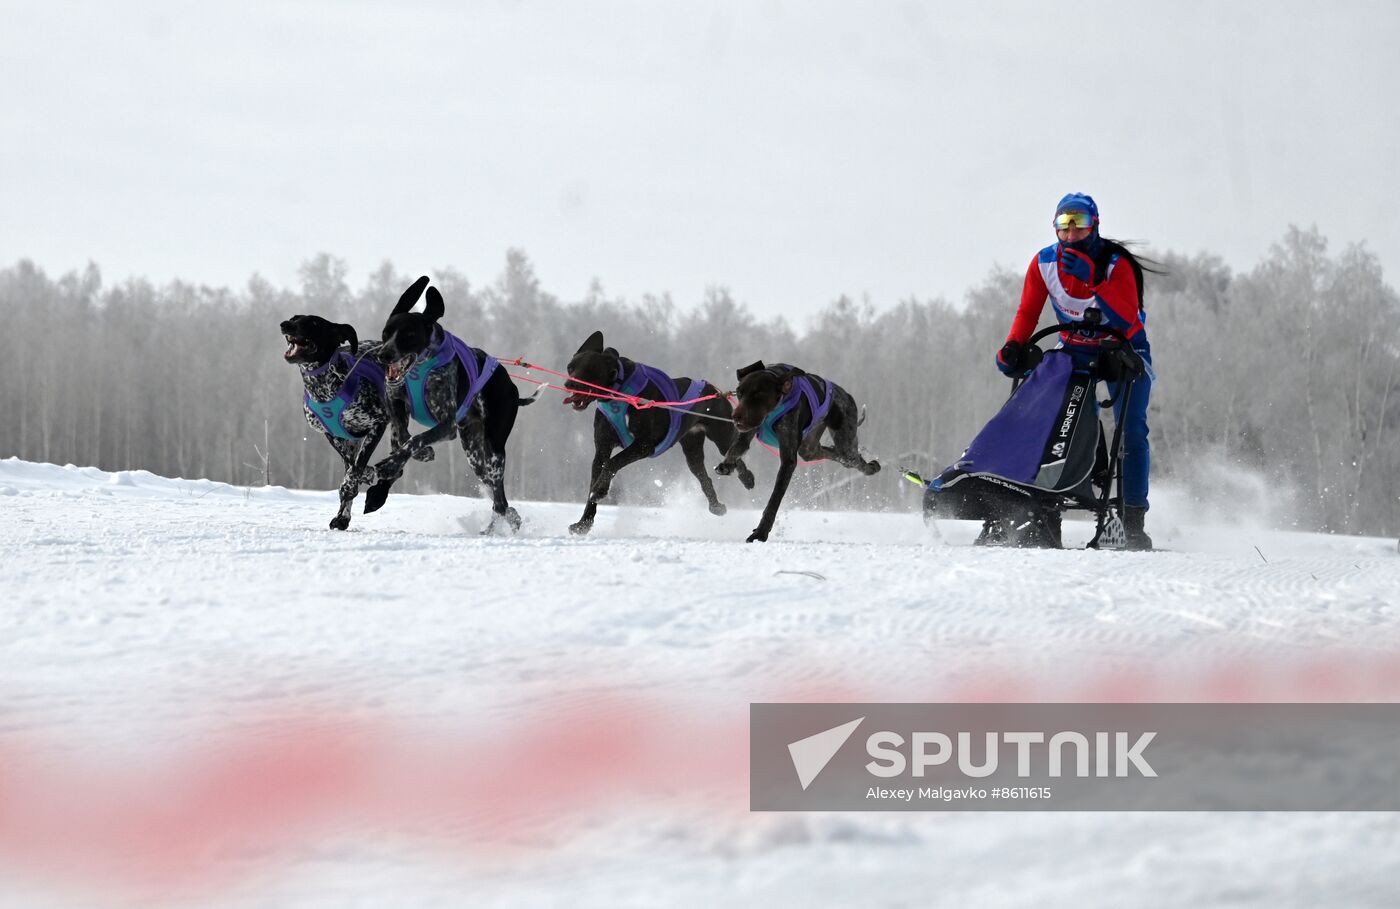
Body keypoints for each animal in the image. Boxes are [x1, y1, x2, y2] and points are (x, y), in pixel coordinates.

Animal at [274, 313, 403, 532]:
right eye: (294, 318)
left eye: (314, 323)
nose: (285, 325)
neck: (323, 386)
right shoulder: (334, 435)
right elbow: (352, 465)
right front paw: (345, 509)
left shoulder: (377, 424)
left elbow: (357, 467)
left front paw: (355, 482)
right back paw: (343, 515)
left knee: (399, 464)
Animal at [366, 275, 534, 532]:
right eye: (386, 333)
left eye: (408, 335)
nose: (383, 355)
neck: (420, 367)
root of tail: (512, 387)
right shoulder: (396, 405)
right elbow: (404, 436)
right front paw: (417, 455)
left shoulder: (447, 426)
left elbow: (415, 439)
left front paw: (392, 463)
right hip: (475, 455)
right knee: (502, 502)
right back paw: (509, 520)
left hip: (494, 451)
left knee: (499, 499)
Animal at [716, 361, 879, 543]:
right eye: (739, 393)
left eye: (758, 394)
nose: (735, 416)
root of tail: (847, 395)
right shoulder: (745, 436)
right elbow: (734, 449)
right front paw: (727, 464)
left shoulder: (788, 459)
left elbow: (774, 499)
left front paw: (761, 532)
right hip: (809, 448)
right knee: (828, 452)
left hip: (845, 443)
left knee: (852, 457)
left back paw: (872, 466)